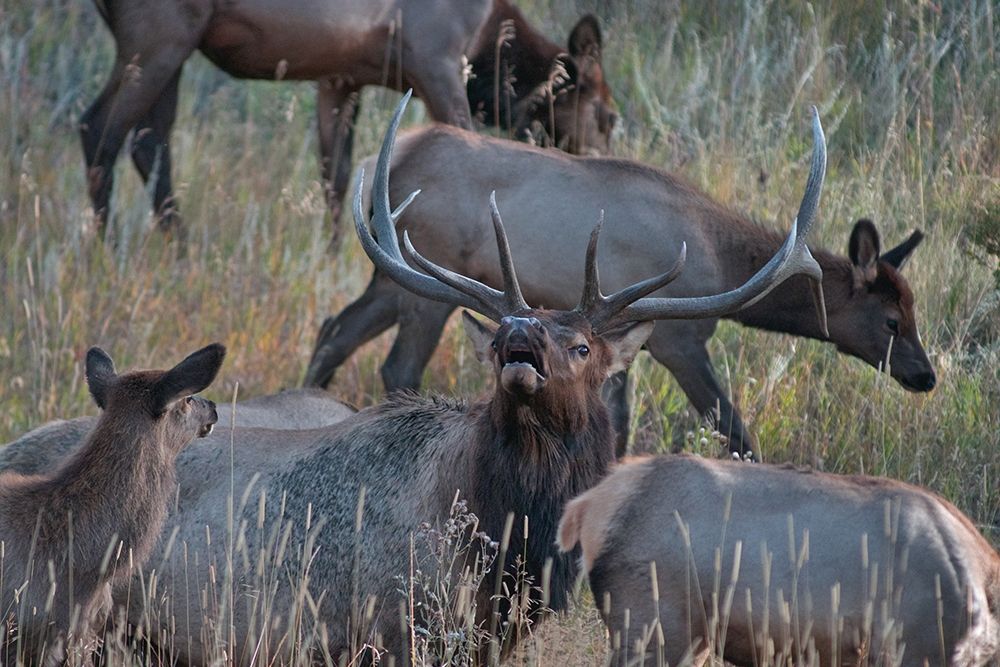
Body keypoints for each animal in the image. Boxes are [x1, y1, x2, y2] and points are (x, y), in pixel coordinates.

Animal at [81, 0, 614, 245]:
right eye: (608, 116)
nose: (601, 162)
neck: (490, 46)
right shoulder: (437, 59)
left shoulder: (340, 78)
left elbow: (336, 180)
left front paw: (336, 253)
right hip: (157, 36)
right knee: (98, 128)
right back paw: (105, 250)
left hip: (176, 44)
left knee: (149, 143)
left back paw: (180, 246)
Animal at [303, 122, 934, 461]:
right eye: (891, 320)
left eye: (913, 308)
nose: (925, 375)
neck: (720, 260)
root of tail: (388, 161)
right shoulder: (681, 340)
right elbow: (732, 426)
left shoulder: (624, 343)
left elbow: (618, 422)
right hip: (426, 285)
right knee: (397, 364)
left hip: (389, 277)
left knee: (334, 329)